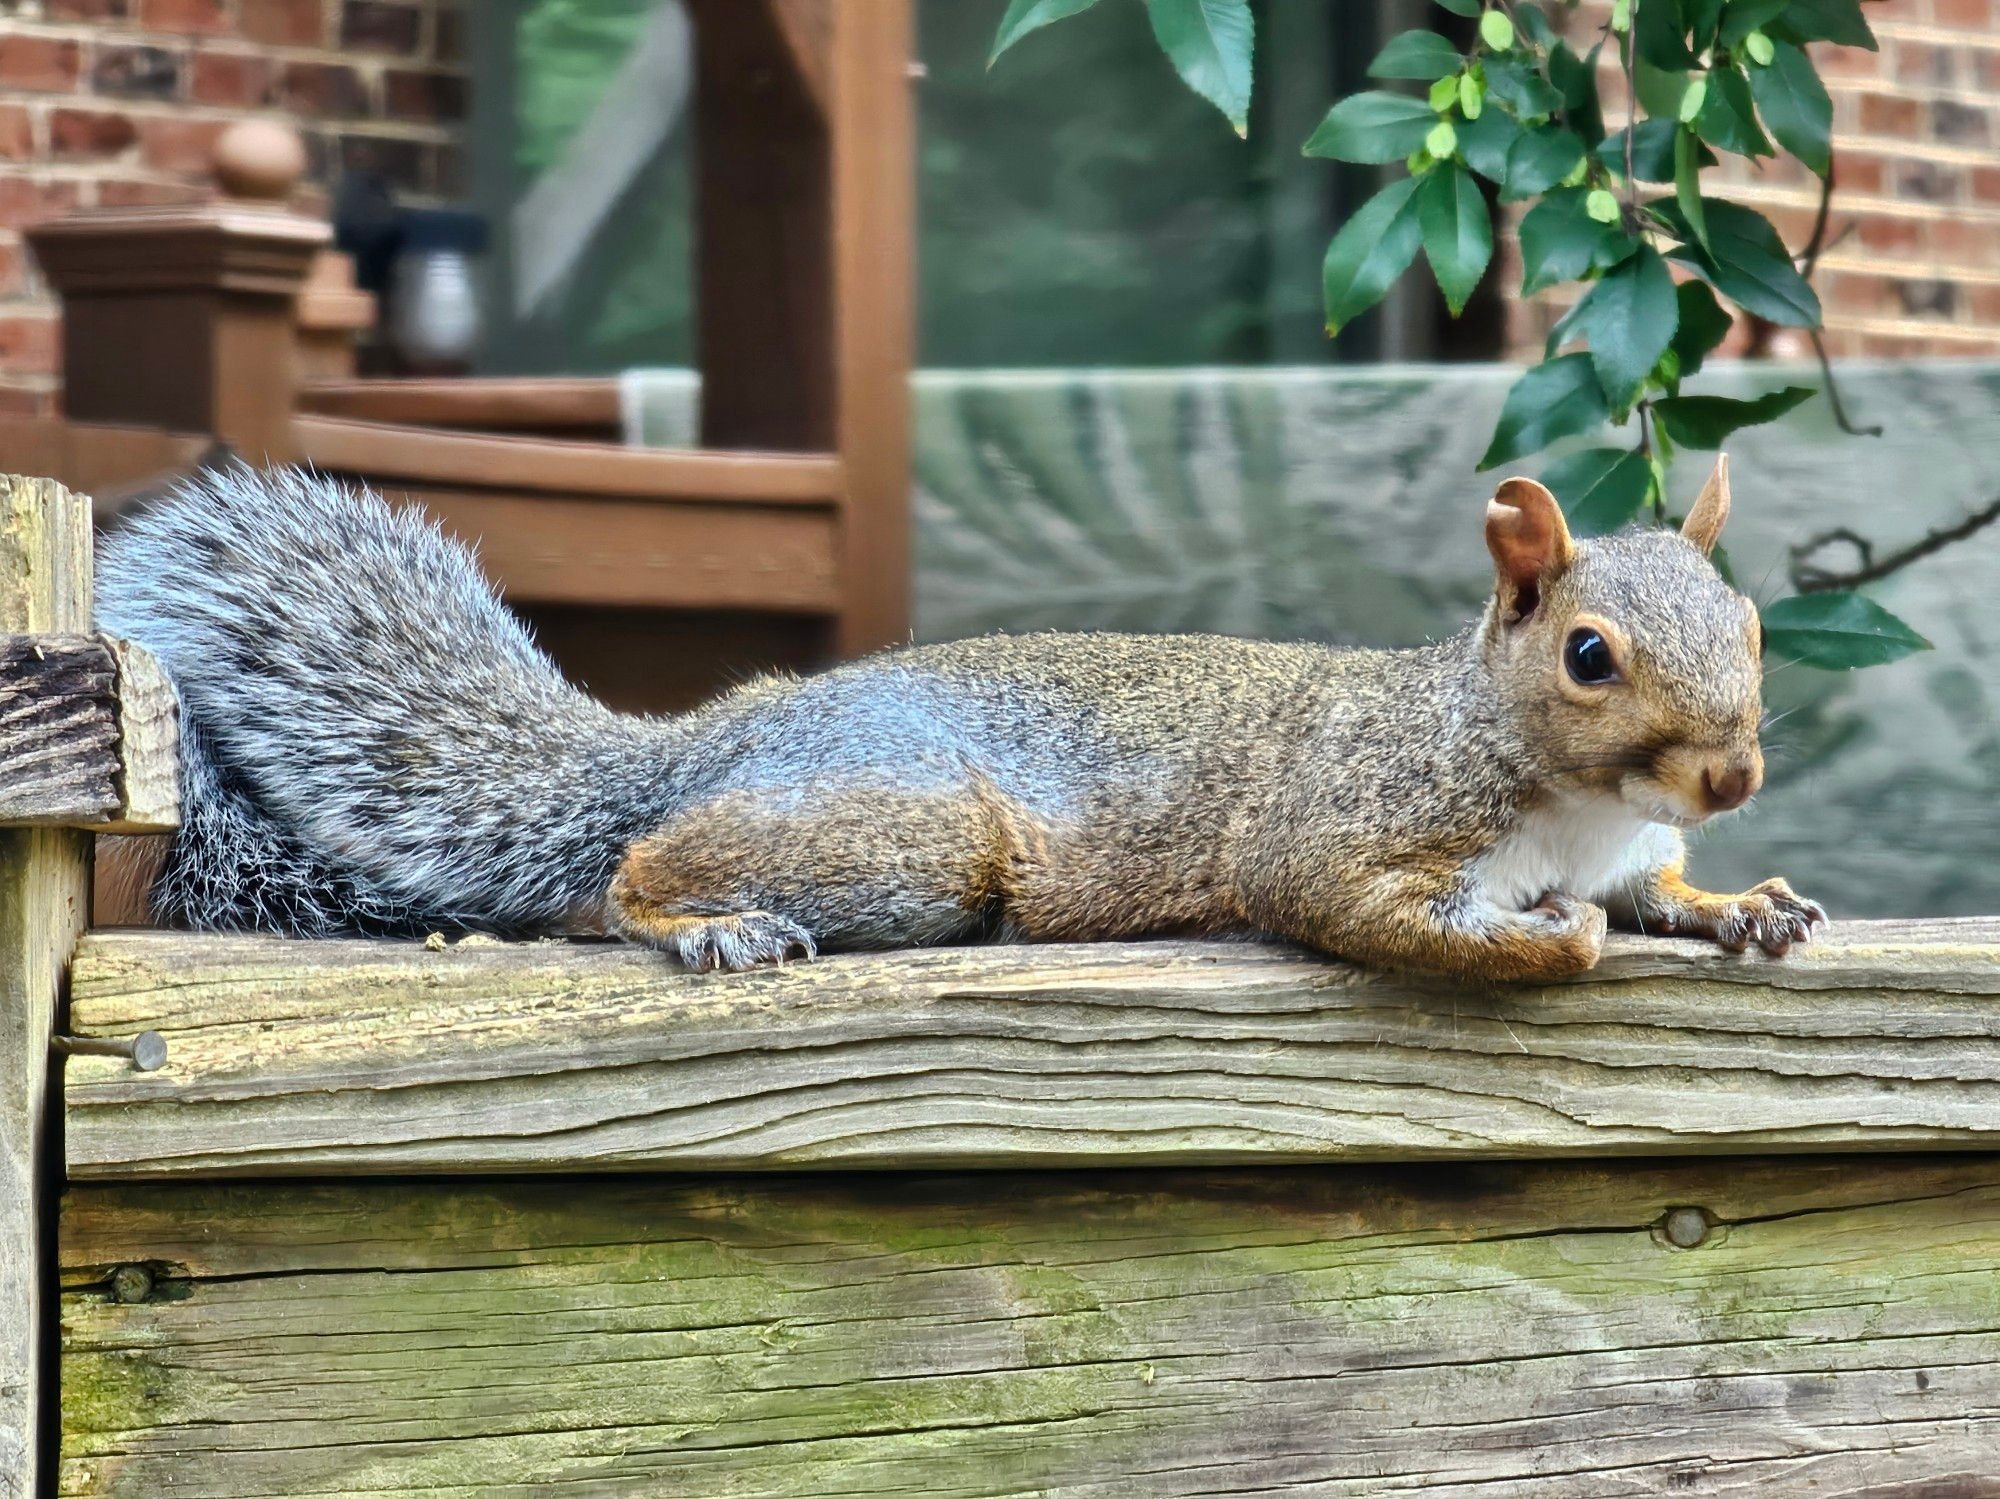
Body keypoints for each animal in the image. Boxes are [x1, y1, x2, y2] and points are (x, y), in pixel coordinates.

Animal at [97, 461, 1832, 987]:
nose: (1735, 767)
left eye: (1751, 620)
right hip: (916, 837)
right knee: (614, 879)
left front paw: (1744, 904)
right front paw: (1550, 939)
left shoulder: (1625, 843)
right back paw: (703, 921)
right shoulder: (1345, 825)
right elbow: (1365, 904)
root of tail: (716, 734)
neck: (1576, 805)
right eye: (1590, 654)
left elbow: (1654, 892)